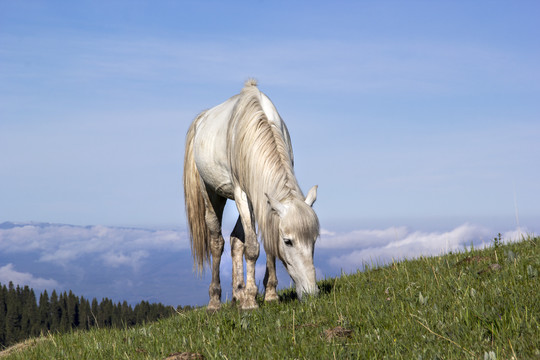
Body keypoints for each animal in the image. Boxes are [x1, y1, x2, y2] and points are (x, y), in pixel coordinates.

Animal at [185, 79, 320, 310]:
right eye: (288, 241)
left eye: (314, 240)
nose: (311, 293)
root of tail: (201, 119)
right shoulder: (242, 194)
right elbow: (252, 247)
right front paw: (250, 301)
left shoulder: (262, 198)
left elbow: (264, 241)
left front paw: (270, 294)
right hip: (211, 194)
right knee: (217, 242)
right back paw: (215, 301)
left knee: (235, 241)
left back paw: (237, 294)